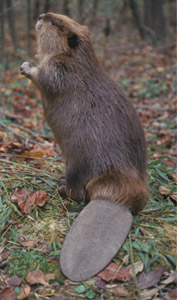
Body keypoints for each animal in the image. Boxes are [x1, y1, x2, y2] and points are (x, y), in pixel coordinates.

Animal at [20, 12, 148, 282]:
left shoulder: (62, 71)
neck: (78, 61)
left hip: (77, 162)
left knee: (78, 193)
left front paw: (26, 66)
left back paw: (59, 186)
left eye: (55, 23)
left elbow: (45, 78)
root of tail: (114, 199)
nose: (41, 15)